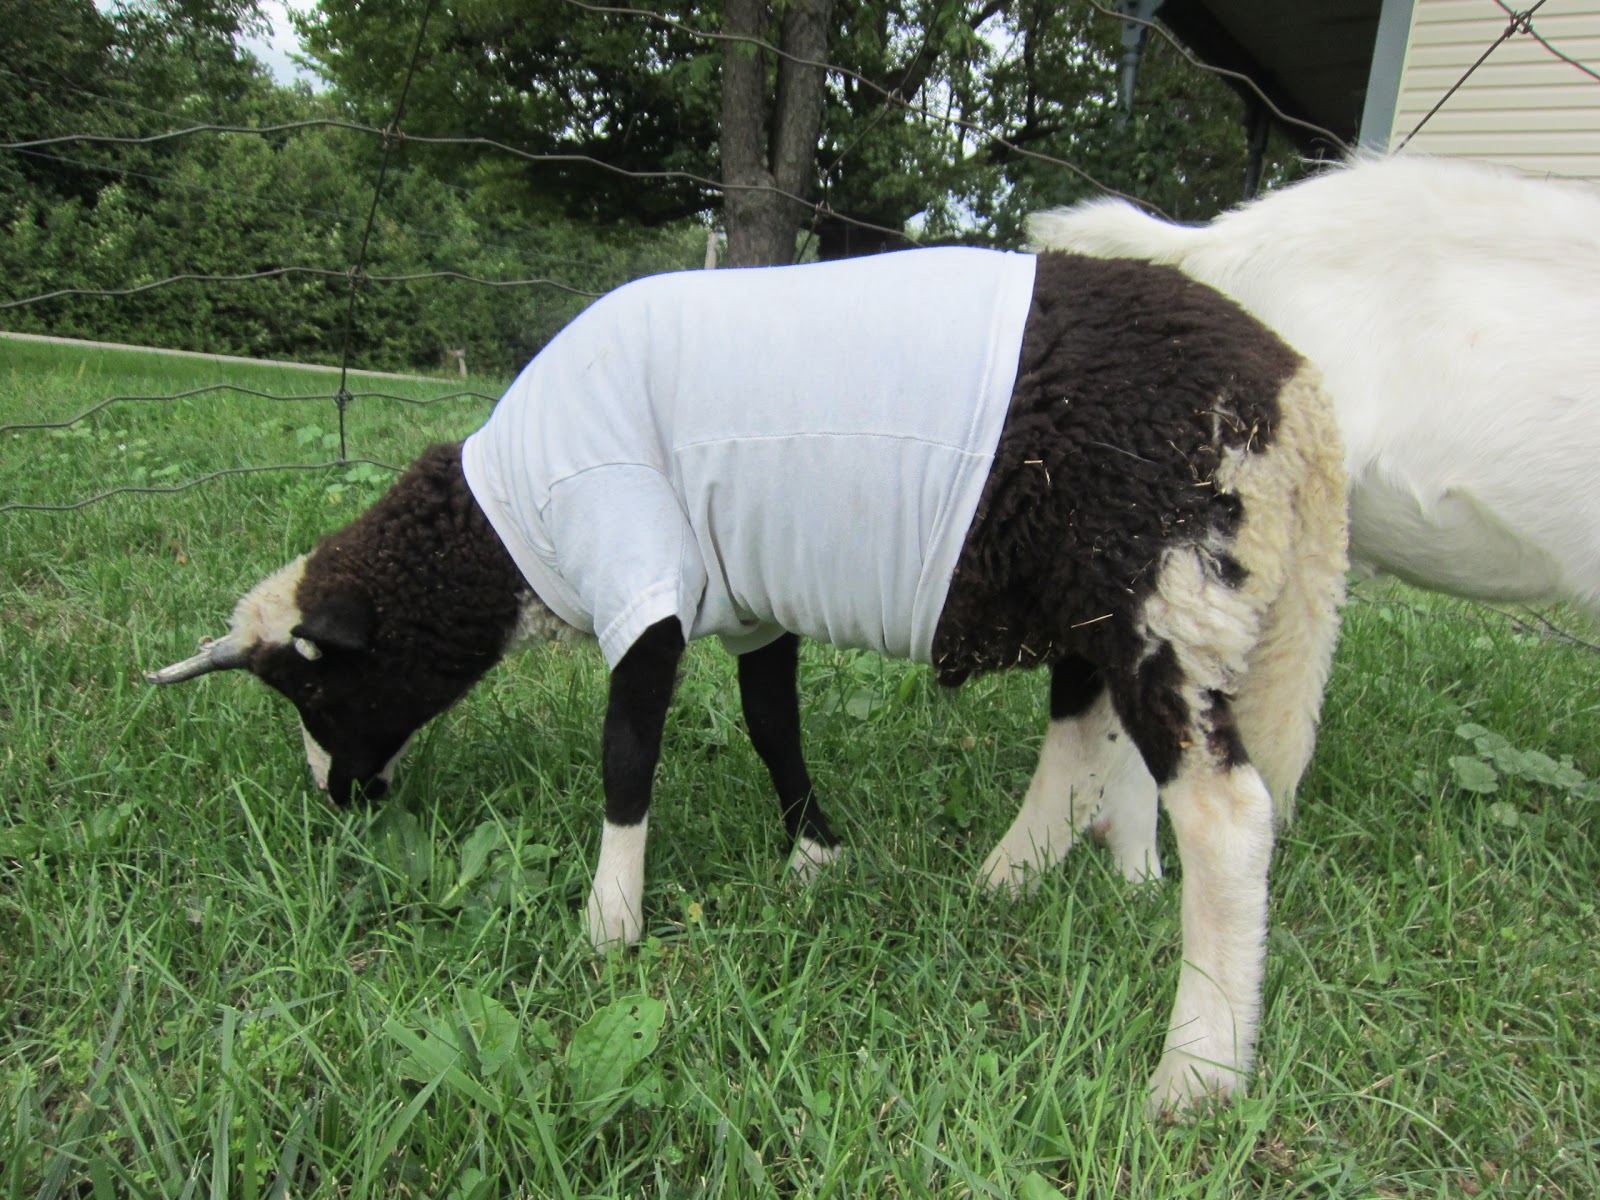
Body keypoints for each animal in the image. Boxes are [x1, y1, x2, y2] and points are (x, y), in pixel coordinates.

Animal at [145, 248, 1347, 1109]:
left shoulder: (636, 564)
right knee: (1093, 739)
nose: (337, 802)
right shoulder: (750, 601)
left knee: (1226, 814)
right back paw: (1034, 877)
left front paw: (608, 928)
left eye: (313, 690)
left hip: (1164, 582)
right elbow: (774, 722)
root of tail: (1296, 394)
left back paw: (1196, 1071)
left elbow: (627, 756)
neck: (509, 522)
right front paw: (814, 853)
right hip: (1108, 600)